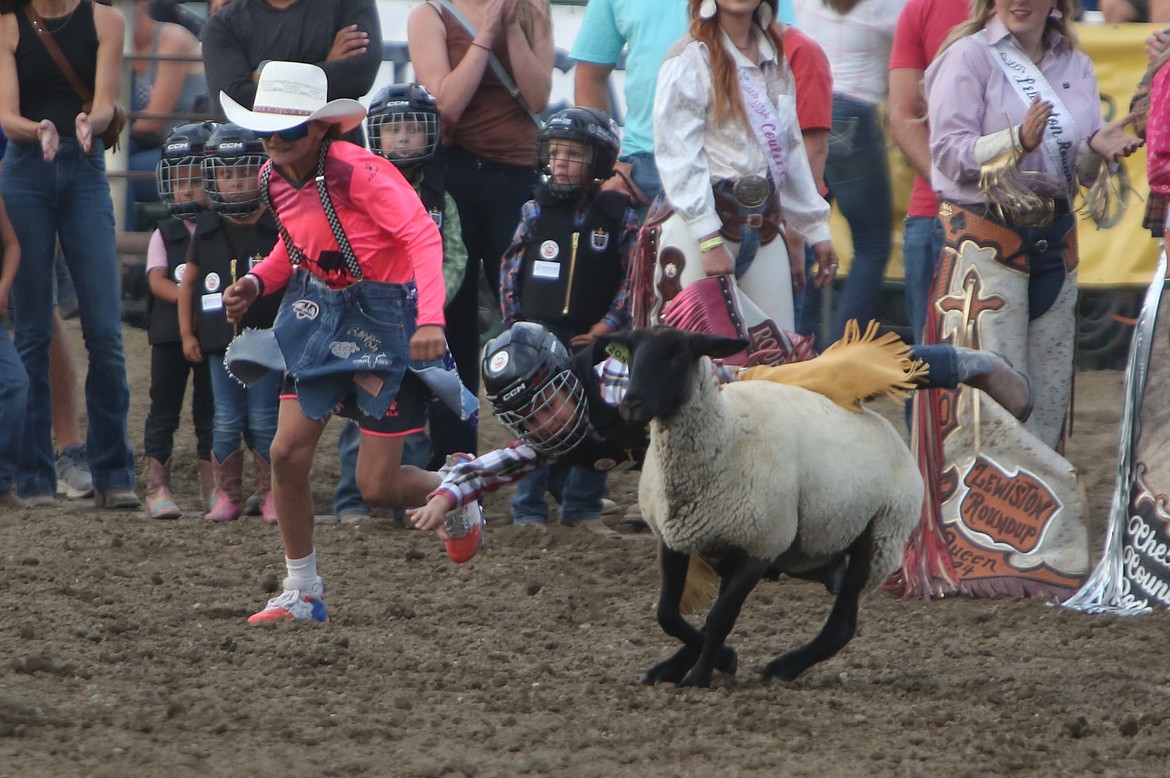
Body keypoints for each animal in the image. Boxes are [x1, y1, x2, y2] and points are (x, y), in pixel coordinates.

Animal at [613, 325, 921, 687]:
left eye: (678, 352)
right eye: (631, 350)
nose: (631, 403)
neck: (726, 432)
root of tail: (889, 430)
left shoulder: (761, 548)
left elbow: (720, 618)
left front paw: (701, 677)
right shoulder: (674, 539)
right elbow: (668, 614)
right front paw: (718, 660)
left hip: (877, 537)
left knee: (842, 627)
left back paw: (782, 667)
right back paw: (670, 669)